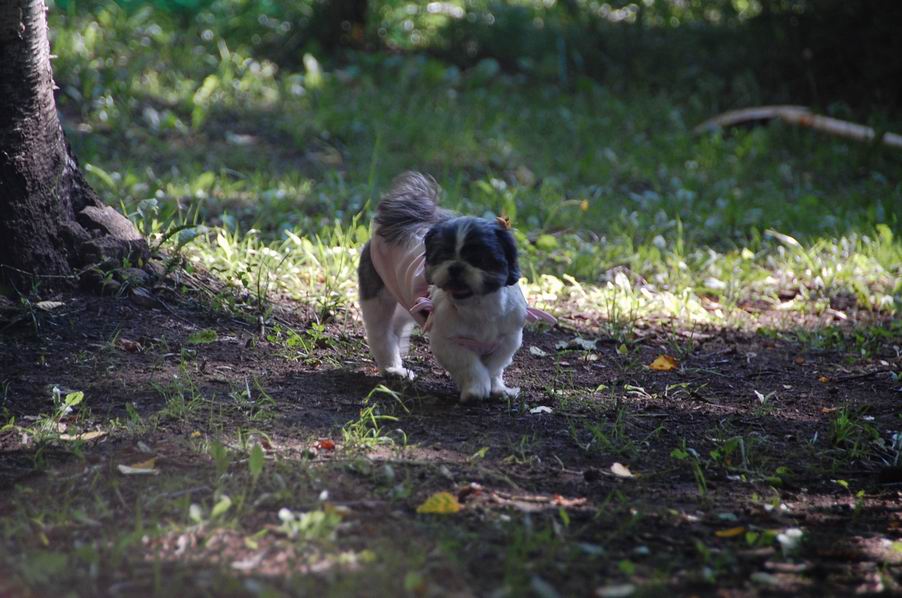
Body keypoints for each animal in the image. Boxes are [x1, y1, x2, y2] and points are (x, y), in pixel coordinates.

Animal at [358, 172, 556, 404]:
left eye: (478, 258)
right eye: (443, 255)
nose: (456, 267)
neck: (478, 308)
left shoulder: (507, 340)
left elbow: (494, 367)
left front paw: (498, 388)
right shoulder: (448, 341)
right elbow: (470, 365)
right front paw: (476, 388)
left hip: (407, 302)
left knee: (397, 328)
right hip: (378, 297)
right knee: (381, 333)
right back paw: (392, 369)